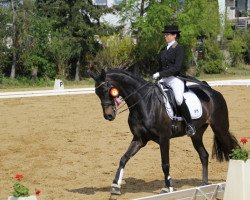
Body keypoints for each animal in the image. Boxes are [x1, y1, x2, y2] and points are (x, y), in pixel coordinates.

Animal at [88, 68, 238, 195]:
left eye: (107, 89)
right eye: (96, 92)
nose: (109, 116)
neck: (144, 102)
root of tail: (213, 92)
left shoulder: (164, 138)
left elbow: (165, 164)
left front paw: (168, 187)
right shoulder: (139, 139)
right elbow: (123, 159)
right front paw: (115, 186)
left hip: (220, 129)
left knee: (231, 151)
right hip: (196, 134)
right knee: (204, 155)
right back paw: (204, 184)